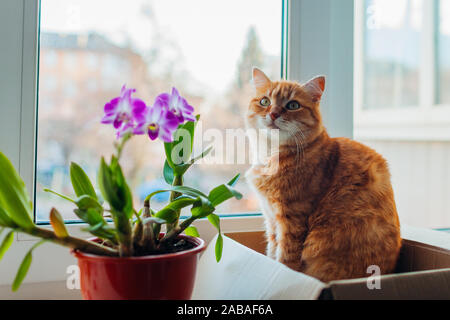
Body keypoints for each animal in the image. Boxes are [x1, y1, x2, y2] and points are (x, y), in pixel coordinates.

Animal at [246, 68, 400, 282]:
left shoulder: (292, 221)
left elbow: (285, 260)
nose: (273, 113)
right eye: (264, 101)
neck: (270, 157)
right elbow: (271, 251)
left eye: (293, 105)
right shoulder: (271, 220)